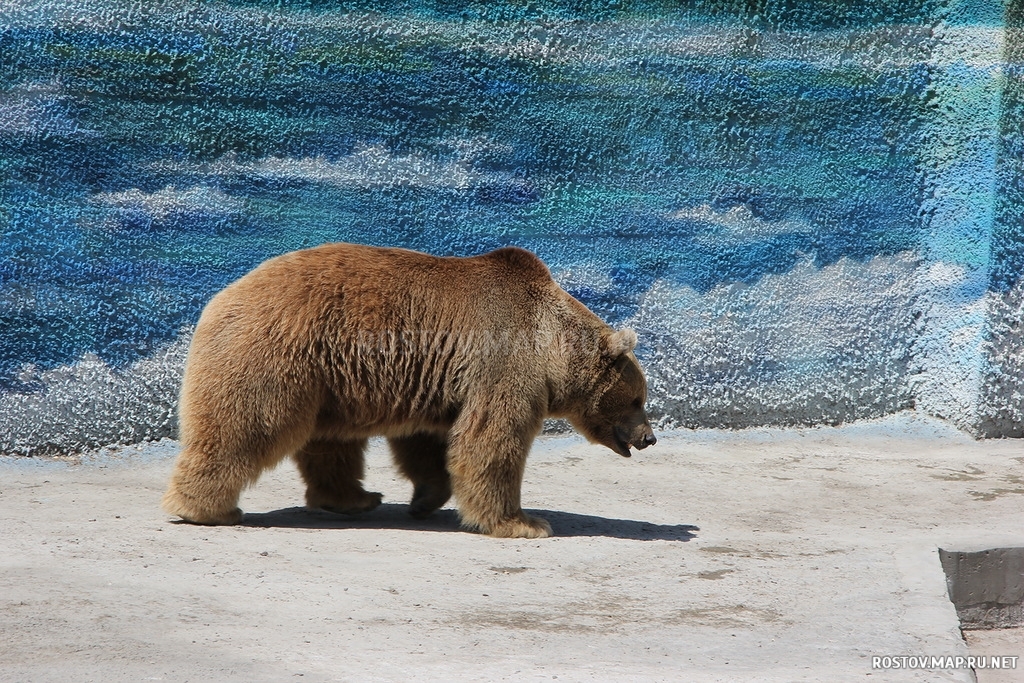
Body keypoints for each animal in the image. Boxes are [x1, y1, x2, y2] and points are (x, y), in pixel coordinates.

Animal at [159, 244, 655, 540]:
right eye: (637, 399)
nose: (649, 436)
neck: (550, 346)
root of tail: (220, 299)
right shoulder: (503, 366)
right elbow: (492, 441)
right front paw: (525, 522)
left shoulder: (442, 382)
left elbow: (429, 442)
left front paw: (426, 498)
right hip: (277, 359)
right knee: (244, 427)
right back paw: (207, 509)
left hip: (327, 382)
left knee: (330, 442)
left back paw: (353, 498)